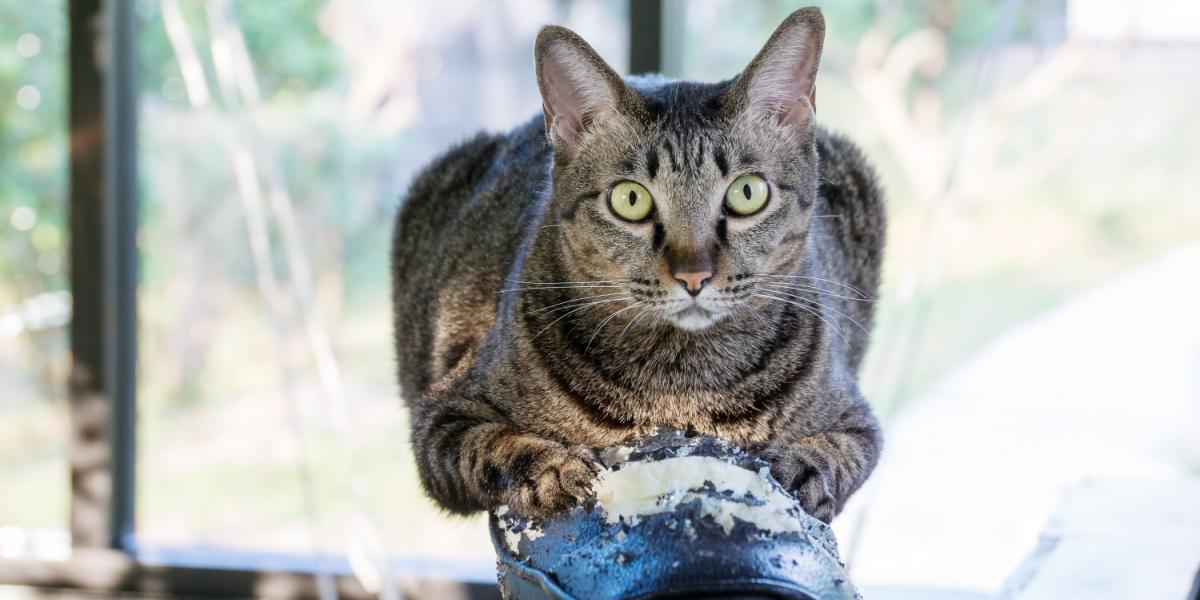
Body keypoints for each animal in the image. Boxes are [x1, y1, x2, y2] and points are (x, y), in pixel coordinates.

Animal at [391, 10, 883, 525]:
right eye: (630, 199)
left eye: (747, 193)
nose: (694, 275)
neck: (681, 388)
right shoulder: (443, 415)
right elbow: (495, 446)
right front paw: (553, 469)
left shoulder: (857, 421)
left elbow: (838, 454)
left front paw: (802, 471)